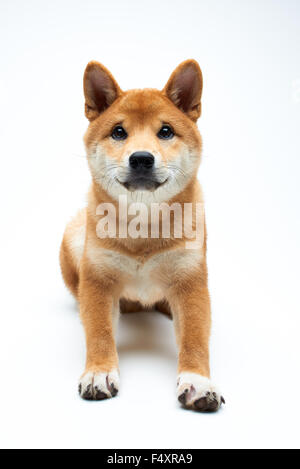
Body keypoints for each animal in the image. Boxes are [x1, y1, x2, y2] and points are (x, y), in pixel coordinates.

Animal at [60, 57, 225, 410]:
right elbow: (99, 332)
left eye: (165, 131)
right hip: (73, 236)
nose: (141, 158)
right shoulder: (97, 281)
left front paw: (198, 382)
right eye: (118, 132)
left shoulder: (191, 283)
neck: (143, 228)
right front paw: (98, 372)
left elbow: (195, 339)